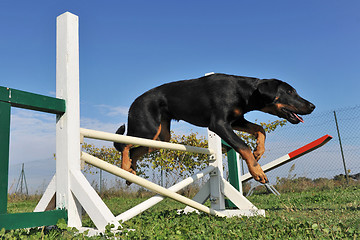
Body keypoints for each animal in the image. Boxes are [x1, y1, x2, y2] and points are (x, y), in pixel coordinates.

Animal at [114, 73, 314, 184]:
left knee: (135, 151)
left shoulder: (236, 121)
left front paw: (258, 151)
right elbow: (243, 146)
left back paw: (130, 173)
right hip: (146, 129)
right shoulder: (219, 124)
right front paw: (258, 172)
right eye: (290, 92)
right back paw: (125, 168)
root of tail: (133, 103)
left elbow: (260, 129)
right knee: (124, 145)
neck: (244, 92)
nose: (312, 106)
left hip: (159, 138)